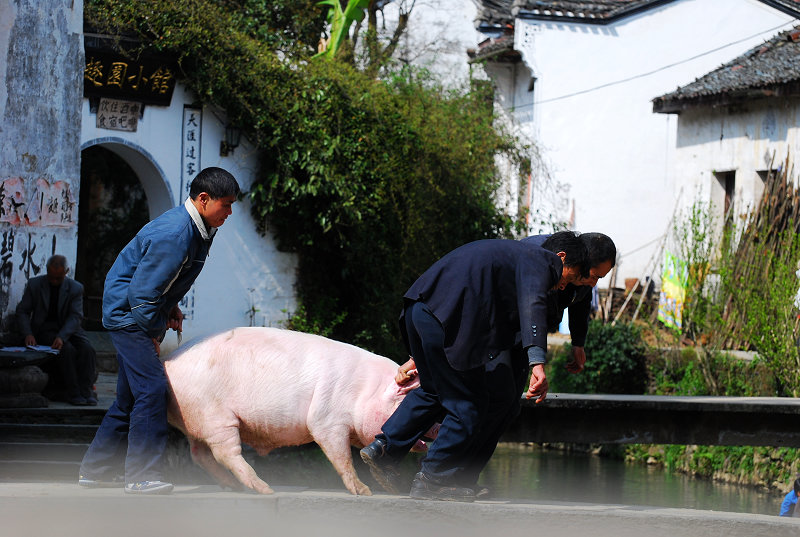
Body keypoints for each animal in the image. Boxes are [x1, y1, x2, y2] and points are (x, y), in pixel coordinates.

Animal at [164, 322, 424, 494]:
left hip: (196, 417)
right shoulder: (327, 418)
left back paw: (232, 486)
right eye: (405, 398)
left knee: (199, 454)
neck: (365, 391)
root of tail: (167, 363)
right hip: (214, 414)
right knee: (224, 452)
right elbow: (341, 455)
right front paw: (364, 492)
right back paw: (264, 489)